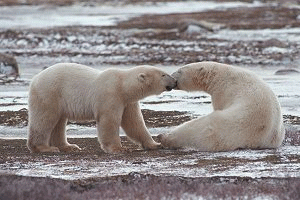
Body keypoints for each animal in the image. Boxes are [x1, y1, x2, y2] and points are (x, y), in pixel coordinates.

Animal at [27, 63, 177, 154]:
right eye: (163, 74)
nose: (175, 81)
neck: (123, 85)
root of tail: (35, 79)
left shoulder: (127, 102)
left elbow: (135, 123)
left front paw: (155, 144)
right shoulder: (111, 95)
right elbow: (109, 121)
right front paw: (119, 148)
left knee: (59, 122)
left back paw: (69, 146)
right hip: (49, 93)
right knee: (44, 119)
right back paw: (44, 148)